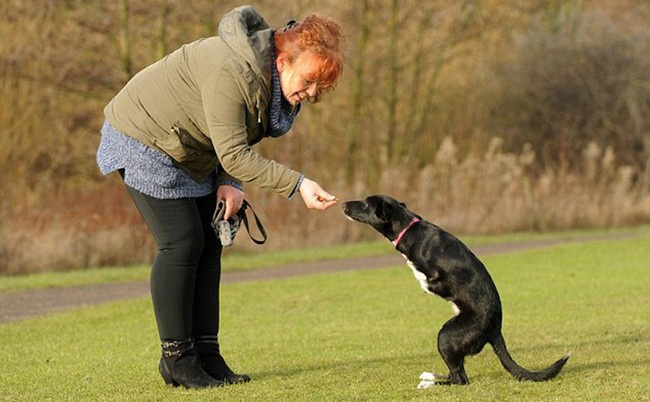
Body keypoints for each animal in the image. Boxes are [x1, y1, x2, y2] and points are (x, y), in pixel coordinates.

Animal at [340, 195, 568, 386]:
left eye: (365, 203)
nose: (342, 204)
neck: (409, 229)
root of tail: (495, 330)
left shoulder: (438, 278)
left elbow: (424, 279)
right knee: (455, 374)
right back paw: (429, 377)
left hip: (446, 336)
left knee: (460, 379)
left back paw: (429, 383)